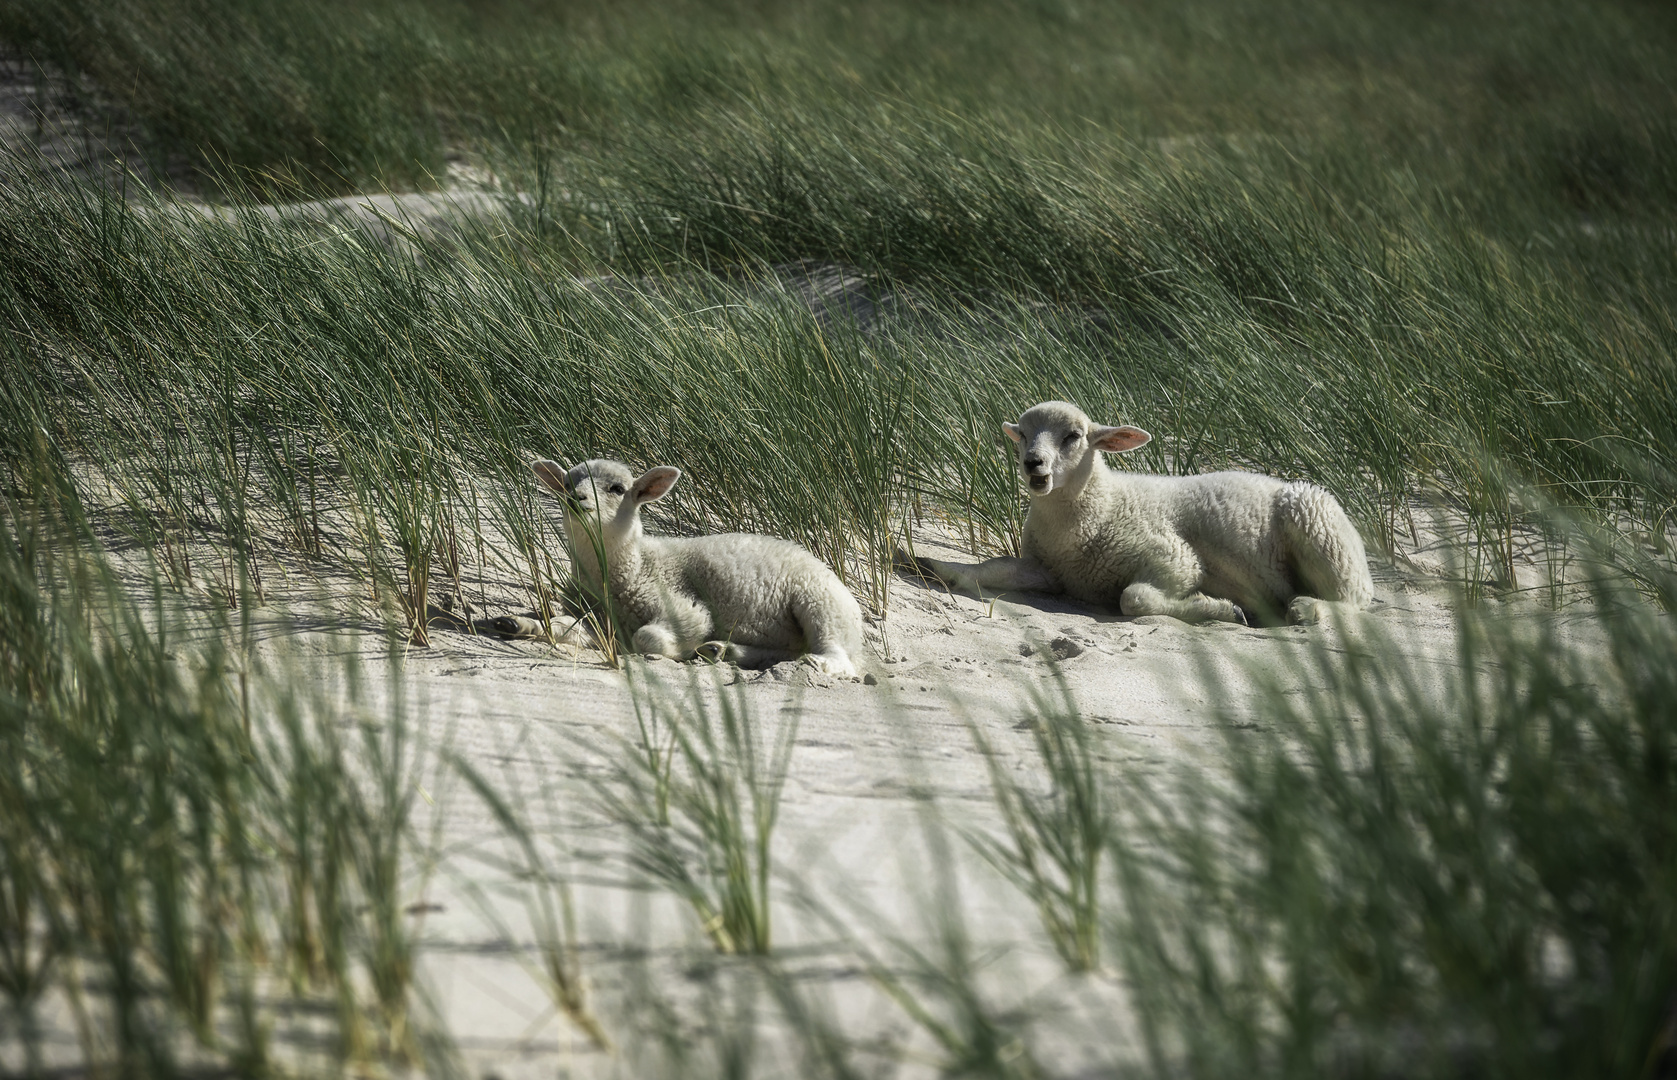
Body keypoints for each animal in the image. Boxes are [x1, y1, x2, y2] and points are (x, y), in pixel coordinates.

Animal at [526, 456, 865, 674]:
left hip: (820, 601)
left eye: (617, 489)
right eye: (566, 483)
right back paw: (723, 650)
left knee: (839, 655)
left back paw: (819, 664)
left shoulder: (682, 605)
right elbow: (563, 627)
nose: (577, 498)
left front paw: (682, 649)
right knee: (790, 651)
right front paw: (530, 626)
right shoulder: (598, 616)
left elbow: (647, 637)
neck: (635, 567)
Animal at [898, 400, 1368, 623]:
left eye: (1073, 436)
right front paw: (925, 564)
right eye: (1023, 435)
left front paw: (1218, 609)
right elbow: (989, 568)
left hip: (1317, 522)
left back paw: (1304, 610)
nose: (1034, 464)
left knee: (1354, 600)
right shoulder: (1049, 569)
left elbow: (1134, 598)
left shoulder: (1173, 557)